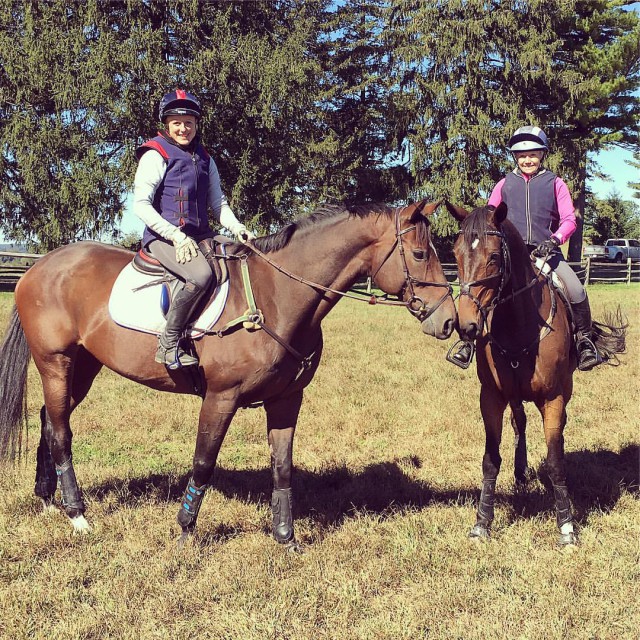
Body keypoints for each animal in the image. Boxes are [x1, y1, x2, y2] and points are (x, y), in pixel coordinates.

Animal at [1, 202, 460, 548]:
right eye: (421, 255)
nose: (449, 322)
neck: (278, 296)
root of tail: (40, 267)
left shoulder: (286, 399)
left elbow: (282, 466)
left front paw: (285, 537)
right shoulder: (221, 398)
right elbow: (204, 462)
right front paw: (185, 531)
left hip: (84, 366)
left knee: (49, 421)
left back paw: (48, 499)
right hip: (56, 363)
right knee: (61, 430)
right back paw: (77, 515)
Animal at [444, 202, 624, 548]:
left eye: (494, 257)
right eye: (455, 253)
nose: (466, 326)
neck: (518, 325)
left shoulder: (553, 398)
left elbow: (555, 461)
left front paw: (566, 526)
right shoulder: (492, 398)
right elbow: (490, 459)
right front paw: (482, 523)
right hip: (515, 397)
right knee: (520, 424)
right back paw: (520, 471)